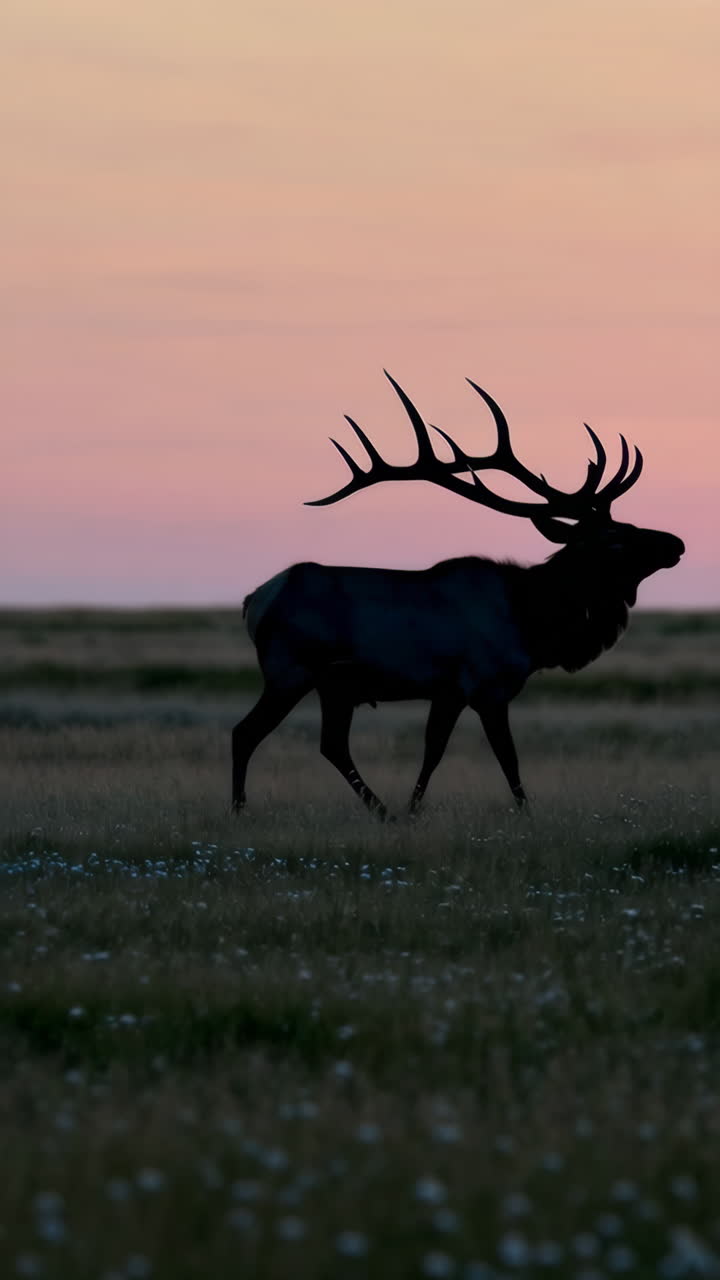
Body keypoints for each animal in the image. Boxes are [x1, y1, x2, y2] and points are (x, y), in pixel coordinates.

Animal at [233, 373, 684, 819]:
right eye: (615, 540)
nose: (675, 543)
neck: (534, 620)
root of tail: (254, 600)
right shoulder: (487, 685)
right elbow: (507, 758)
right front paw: (526, 813)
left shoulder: (449, 690)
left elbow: (433, 749)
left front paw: (412, 810)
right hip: (290, 670)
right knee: (246, 732)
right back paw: (239, 809)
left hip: (334, 687)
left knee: (332, 744)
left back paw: (382, 810)